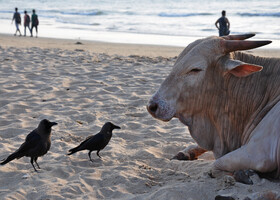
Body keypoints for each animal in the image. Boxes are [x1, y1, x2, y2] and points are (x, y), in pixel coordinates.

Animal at [147, 33, 280, 184]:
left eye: (195, 69)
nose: (152, 106)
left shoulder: (261, 155)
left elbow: (215, 166)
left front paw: (246, 174)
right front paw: (185, 153)